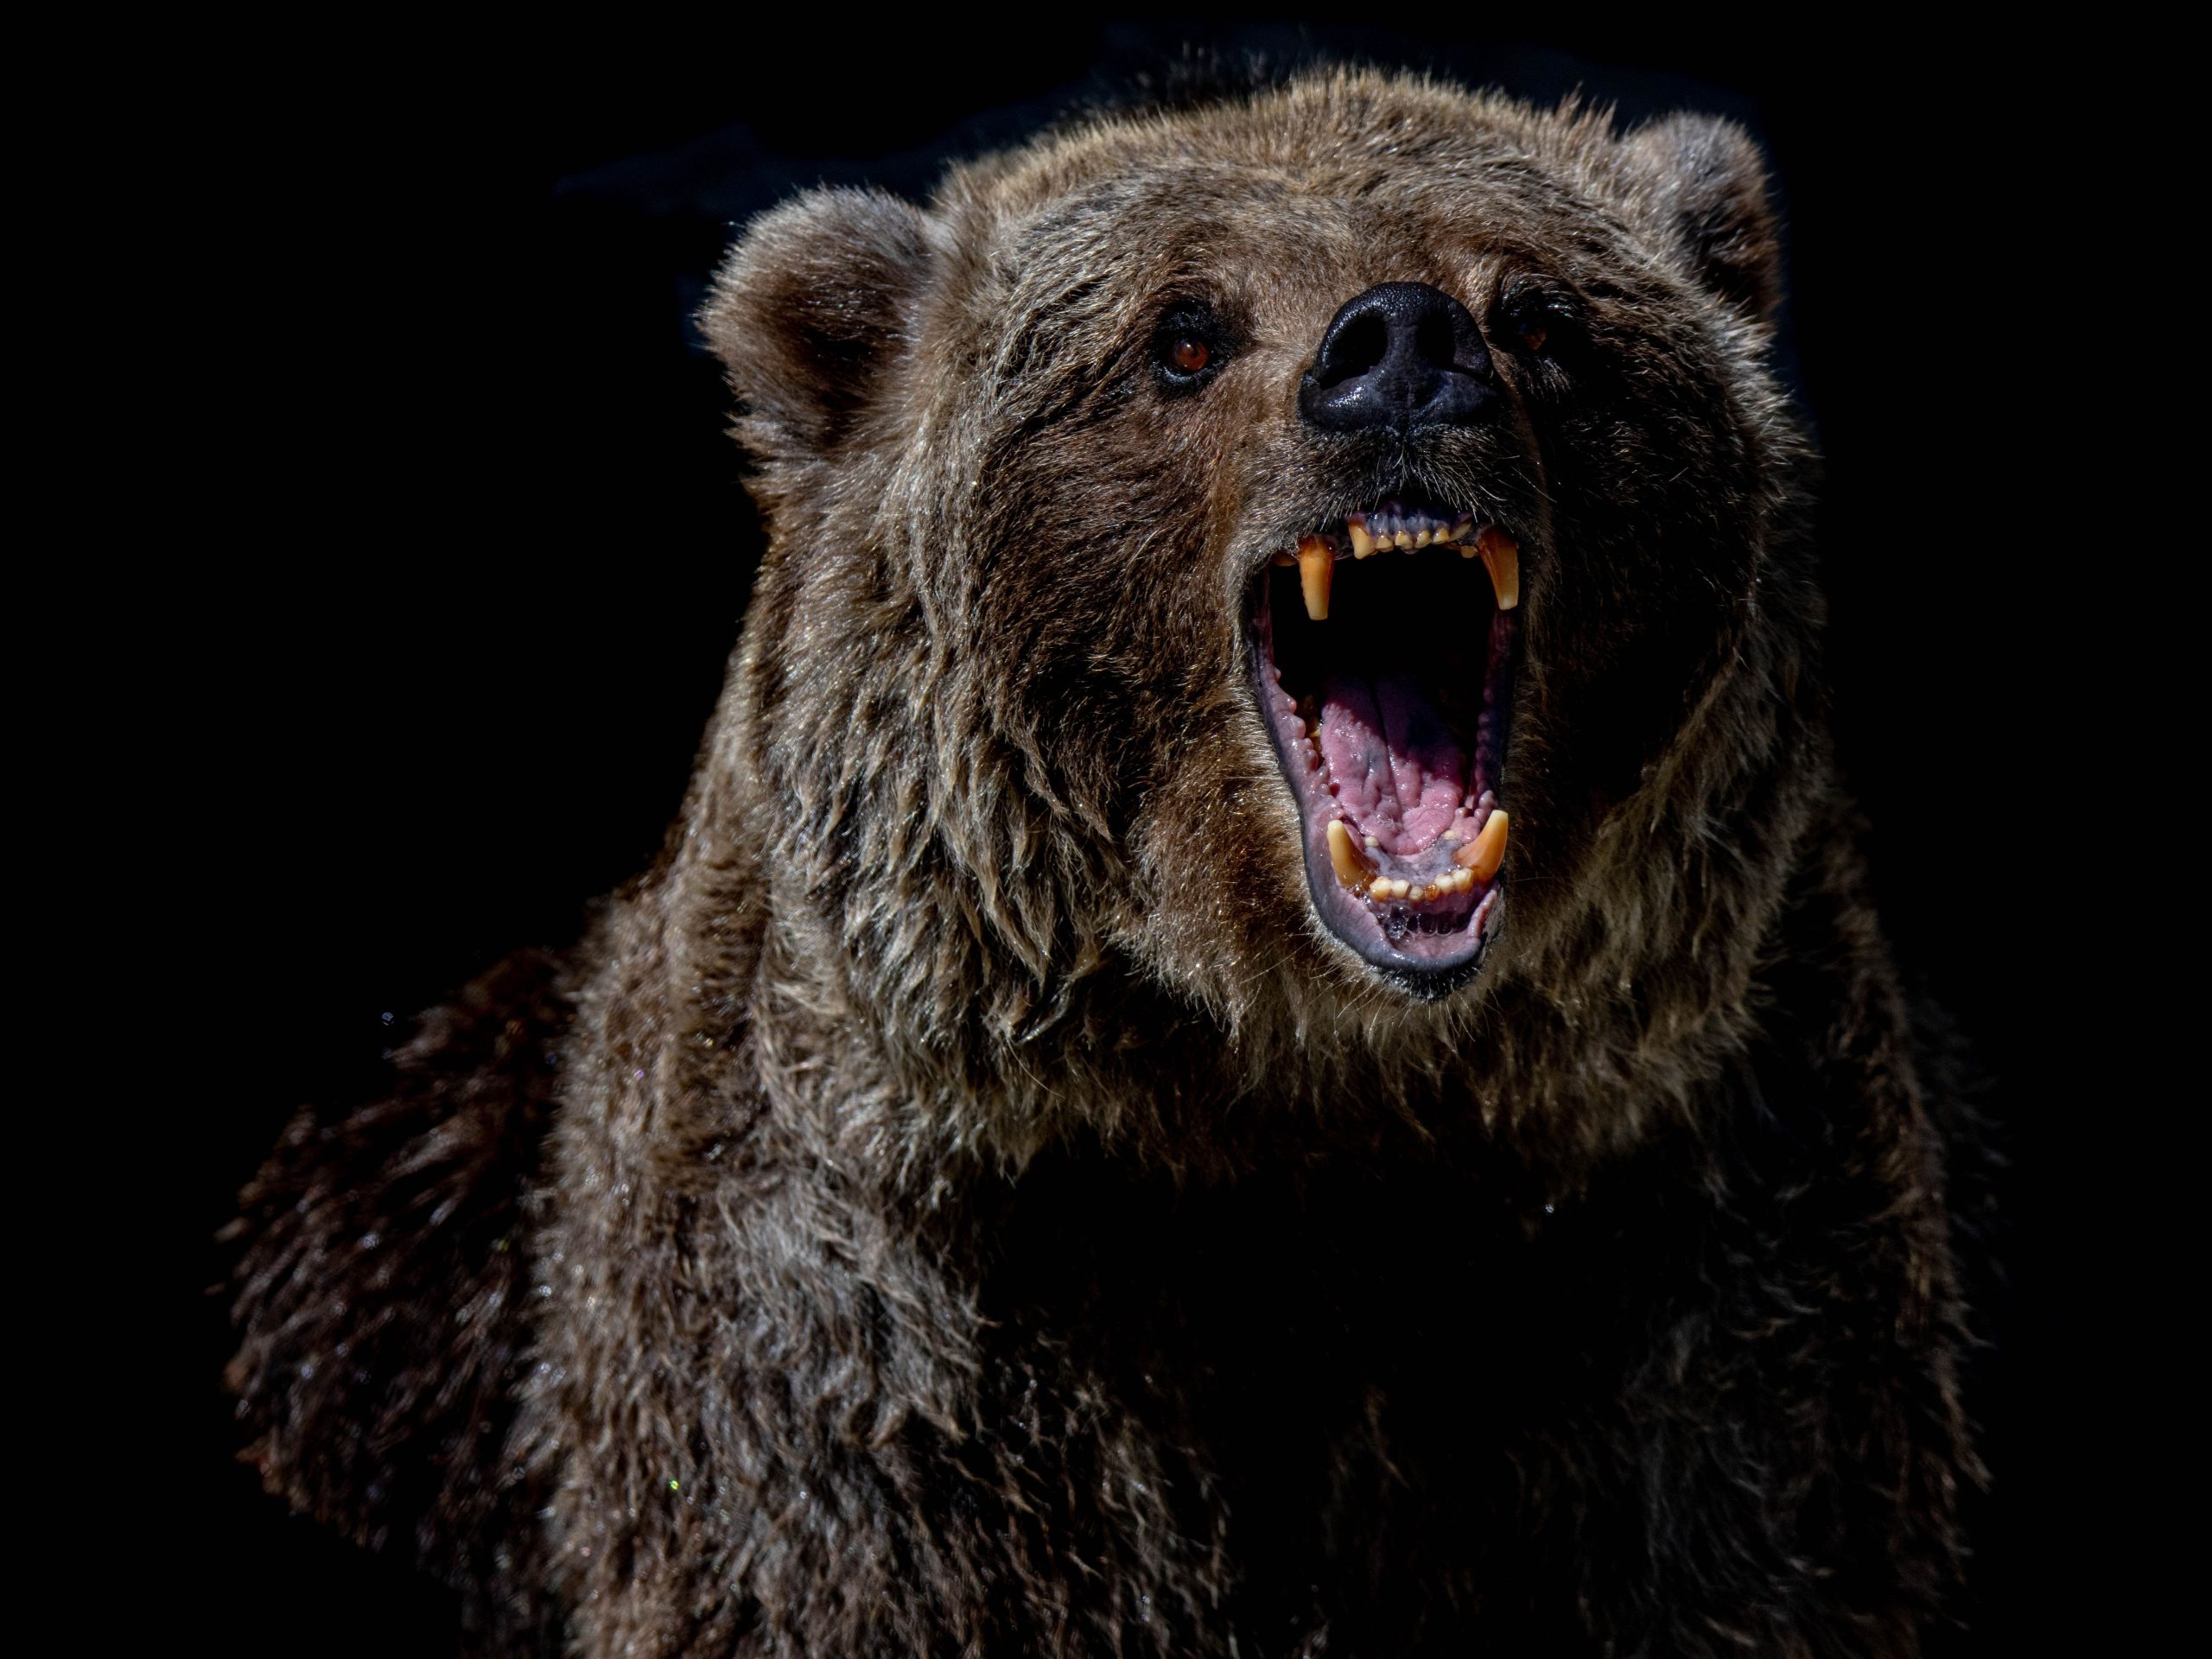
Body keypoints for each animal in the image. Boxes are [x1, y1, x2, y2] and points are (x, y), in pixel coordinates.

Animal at [227, 68, 1982, 1657]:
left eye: (1543, 315)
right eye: (1184, 334)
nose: (1403, 350)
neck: (1297, 1103)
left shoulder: (1685, 1276)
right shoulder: (891, 1341)